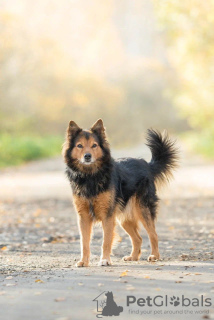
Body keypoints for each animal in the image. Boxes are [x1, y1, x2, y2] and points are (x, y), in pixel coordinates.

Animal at [62, 119, 178, 266]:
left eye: (94, 145)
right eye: (79, 146)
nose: (87, 156)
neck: (90, 176)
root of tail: (146, 164)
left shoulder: (107, 216)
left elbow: (106, 241)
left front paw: (105, 260)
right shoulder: (83, 216)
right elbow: (84, 242)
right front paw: (83, 261)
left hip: (143, 209)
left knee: (153, 234)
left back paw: (154, 256)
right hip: (124, 218)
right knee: (138, 238)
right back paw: (133, 257)